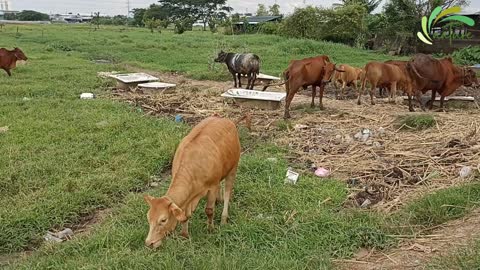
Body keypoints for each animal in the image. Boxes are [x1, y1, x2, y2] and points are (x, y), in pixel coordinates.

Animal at [142, 114, 249, 249]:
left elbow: (209, 210)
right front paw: (184, 234)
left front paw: (210, 229)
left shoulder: (212, 186)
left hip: (233, 167)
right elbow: (185, 216)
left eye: (163, 220)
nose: (149, 243)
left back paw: (224, 218)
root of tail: (224, 119)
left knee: (227, 192)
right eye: (148, 217)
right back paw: (218, 200)